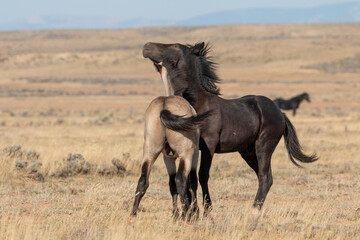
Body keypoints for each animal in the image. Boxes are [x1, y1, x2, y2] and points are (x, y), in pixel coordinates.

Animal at [143, 41, 318, 214]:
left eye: (175, 46)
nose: (146, 46)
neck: (198, 102)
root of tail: (280, 113)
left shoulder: (209, 146)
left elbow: (203, 175)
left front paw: (207, 209)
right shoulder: (193, 149)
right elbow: (193, 178)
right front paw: (195, 209)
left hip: (264, 147)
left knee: (264, 177)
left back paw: (254, 209)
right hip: (247, 151)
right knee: (264, 177)